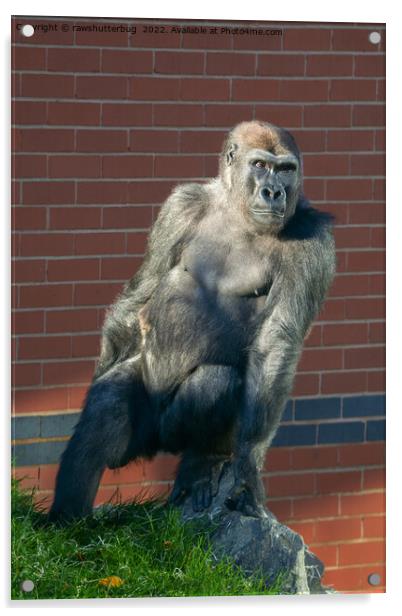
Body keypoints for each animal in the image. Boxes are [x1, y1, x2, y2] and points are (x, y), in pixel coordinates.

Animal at [48, 121, 336, 524]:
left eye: (286, 170)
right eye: (260, 165)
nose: (274, 192)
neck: (235, 211)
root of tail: (154, 448)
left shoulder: (314, 242)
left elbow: (276, 343)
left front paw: (248, 465)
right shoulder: (180, 206)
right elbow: (142, 291)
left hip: (172, 433)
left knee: (213, 384)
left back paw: (199, 463)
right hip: (143, 429)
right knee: (107, 407)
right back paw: (67, 523)